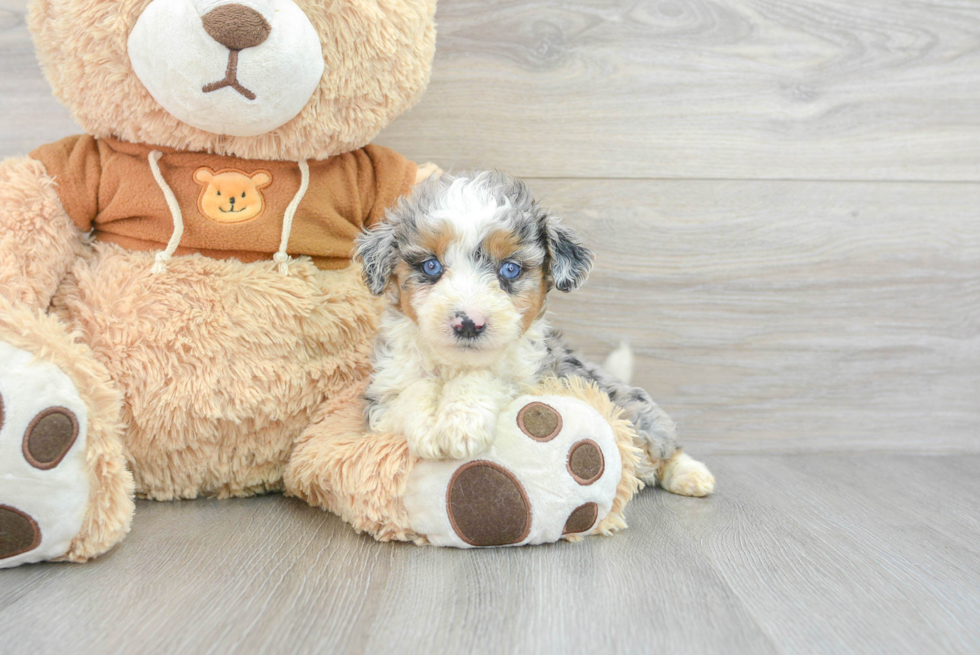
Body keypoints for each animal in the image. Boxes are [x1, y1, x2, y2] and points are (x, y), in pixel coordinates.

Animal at [356, 170, 716, 498]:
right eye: (430, 266)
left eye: (510, 269)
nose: (469, 323)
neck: (455, 365)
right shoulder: (381, 401)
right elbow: (411, 393)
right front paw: (430, 430)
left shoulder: (537, 381)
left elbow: (486, 380)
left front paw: (461, 425)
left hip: (633, 410)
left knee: (662, 444)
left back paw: (692, 476)